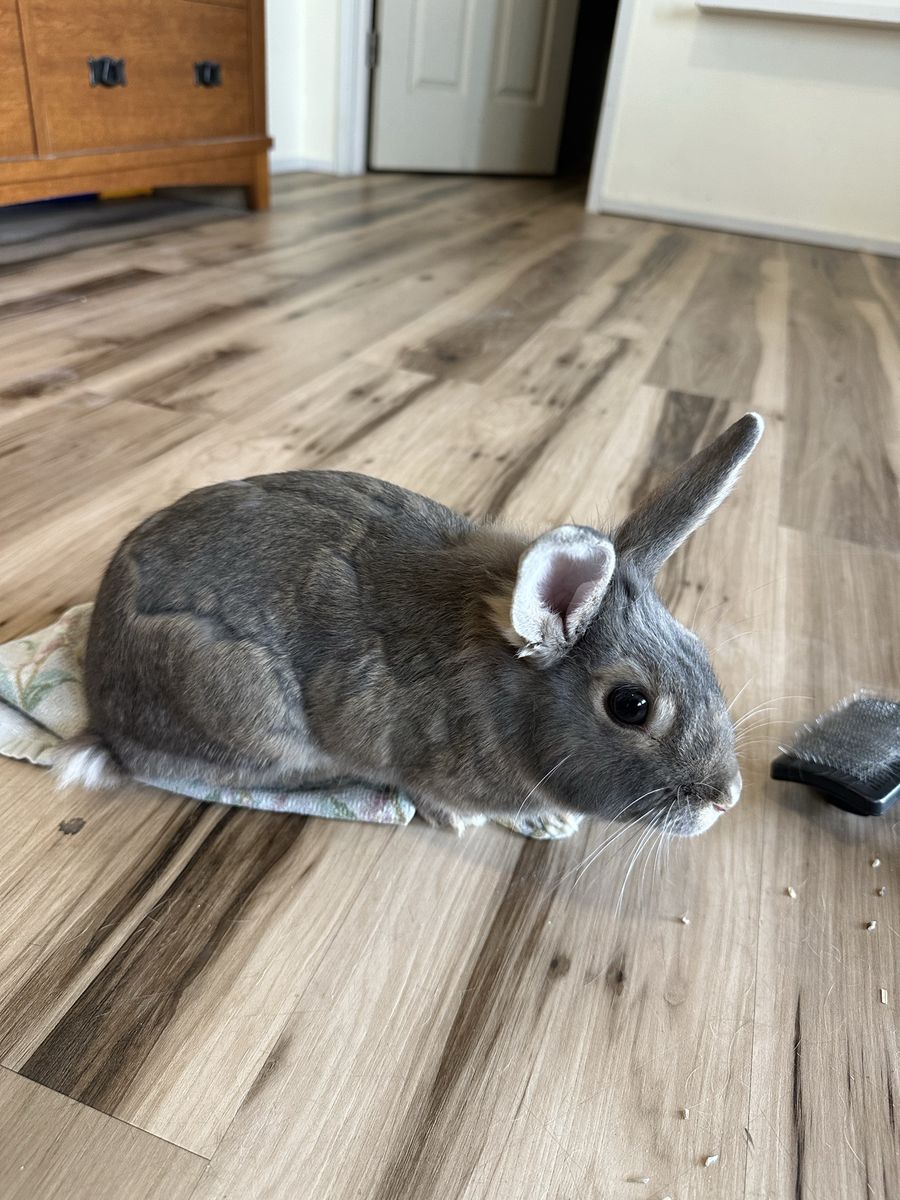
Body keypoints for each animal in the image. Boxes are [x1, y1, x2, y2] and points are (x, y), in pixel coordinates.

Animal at [55, 411, 763, 839]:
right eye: (630, 705)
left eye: (700, 650)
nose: (727, 798)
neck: (503, 693)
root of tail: (102, 700)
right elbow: (429, 791)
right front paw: (494, 823)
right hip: (244, 714)